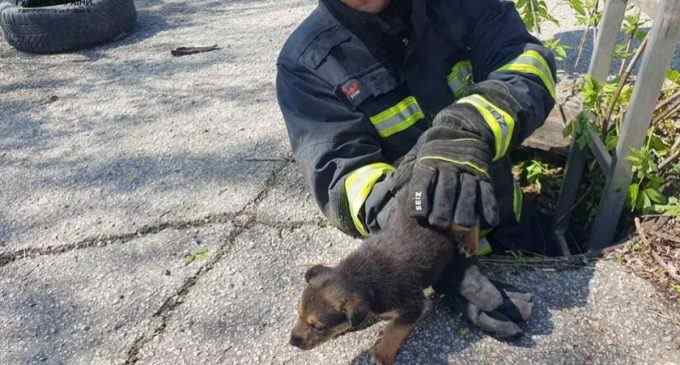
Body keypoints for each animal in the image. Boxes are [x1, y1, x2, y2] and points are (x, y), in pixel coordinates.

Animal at [286, 191, 472, 364]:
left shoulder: (413, 305)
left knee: (468, 225)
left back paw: (470, 244)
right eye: (298, 313)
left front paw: (382, 354)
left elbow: (395, 330)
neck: (358, 276)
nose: (292, 342)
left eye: (319, 327)